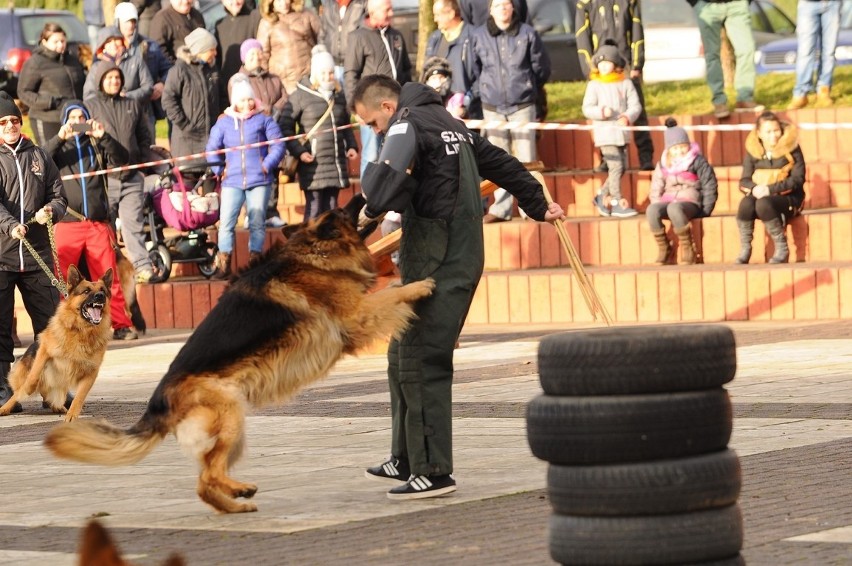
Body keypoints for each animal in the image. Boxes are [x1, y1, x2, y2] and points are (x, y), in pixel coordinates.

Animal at [0, 266, 113, 422]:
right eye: (86, 291)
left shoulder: (91, 373)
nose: (100, 296)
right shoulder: (44, 350)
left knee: (50, 395)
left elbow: (79, 397)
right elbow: (32, 378)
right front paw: (27, 389)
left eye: (103, 290)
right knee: (20, 391)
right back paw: (6, 407)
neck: (81, 331)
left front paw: (72, 415)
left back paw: (58, 407)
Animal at [44, 197, 436, 516]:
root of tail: (159, 401)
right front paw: (422, 285)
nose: (362, 196)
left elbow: (391, 291)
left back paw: (234, 500)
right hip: (231, 416)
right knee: (206, 477)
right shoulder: (358, 315)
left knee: (205, 478)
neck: (314, 253)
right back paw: (237, 496)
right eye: (343, 211)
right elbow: (393, 292)